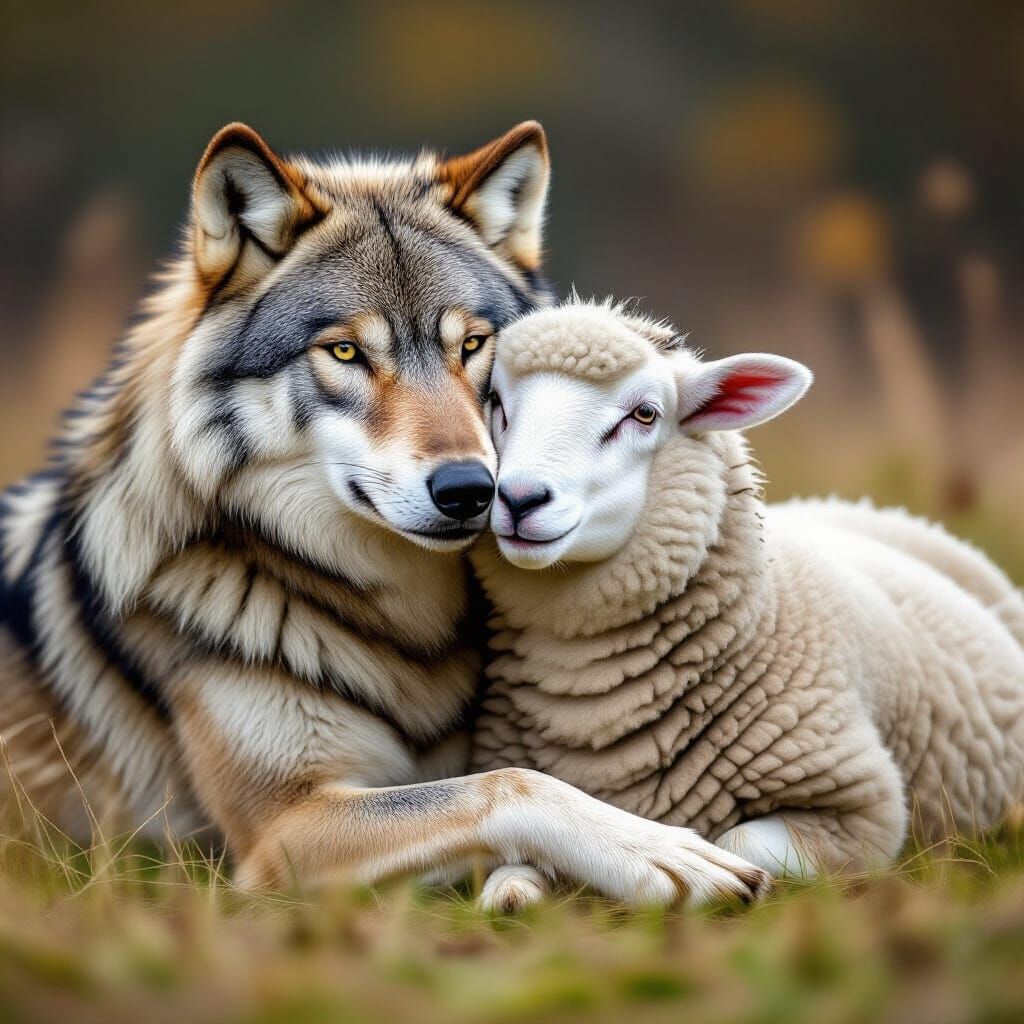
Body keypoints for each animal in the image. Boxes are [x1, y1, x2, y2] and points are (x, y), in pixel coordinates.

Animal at [0, 122, 769, 905]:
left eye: (472, 345)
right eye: (345, 351)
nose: (471, 490)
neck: (404, 631)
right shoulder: (282, 831)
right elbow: (512, 785)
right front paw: (661, 851)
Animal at [469, 299, 1024, 912]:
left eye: (644, 413)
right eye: (496, 402)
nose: (518, 498)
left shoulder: (861, 812)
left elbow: (735, 843)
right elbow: (520, 856)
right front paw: (518, 891)